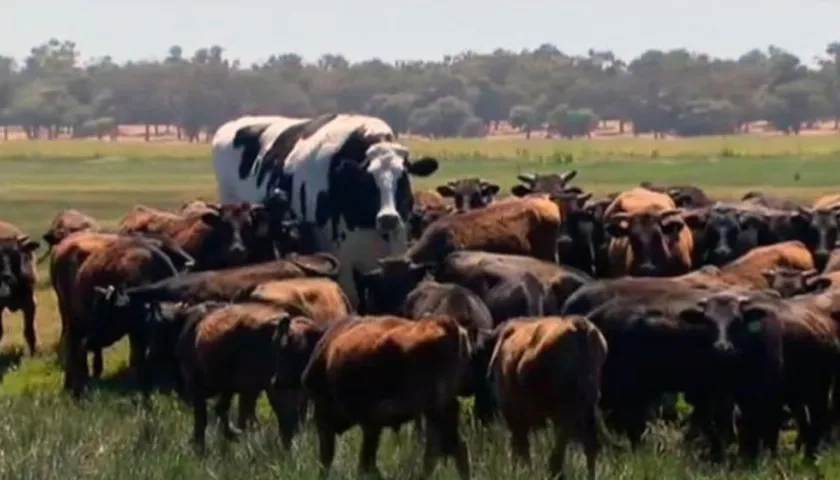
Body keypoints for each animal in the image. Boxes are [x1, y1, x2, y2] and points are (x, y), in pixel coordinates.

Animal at [212, 113, 440, 309]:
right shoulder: (342, 258)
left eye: (403, 178)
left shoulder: (396, 249)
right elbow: (354, 301)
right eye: (367, 179)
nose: (388, 218)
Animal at [295, 315, 473, 479]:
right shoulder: (372, 425)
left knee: (447, 449)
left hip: (435, 410)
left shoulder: (339, 420)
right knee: (444, 449)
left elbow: (340, 460)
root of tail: (445, 323)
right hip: (436, 412)